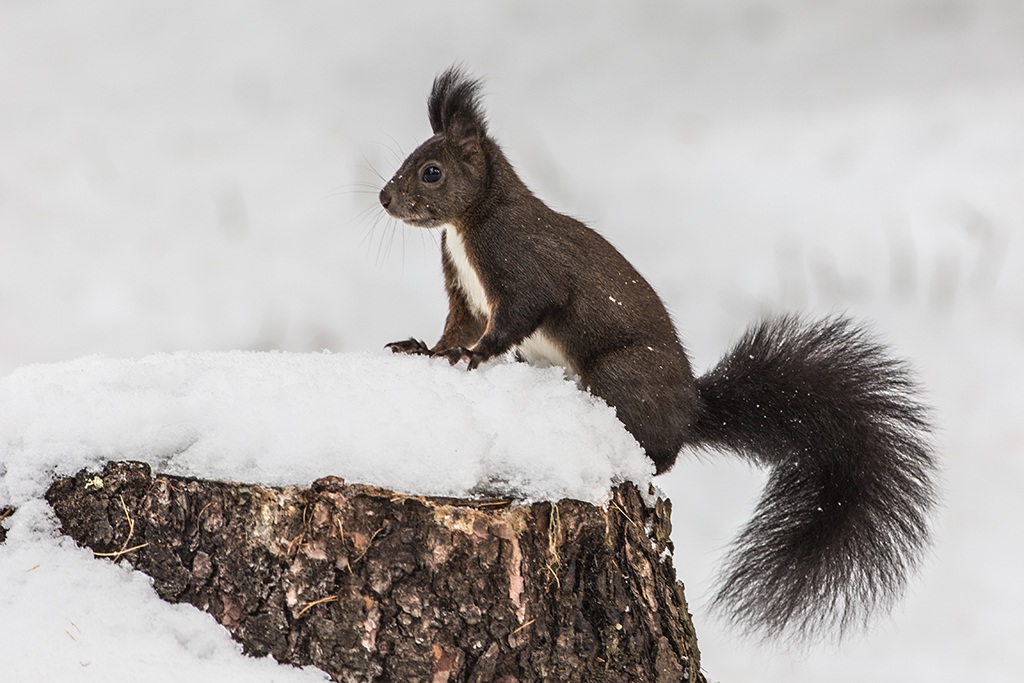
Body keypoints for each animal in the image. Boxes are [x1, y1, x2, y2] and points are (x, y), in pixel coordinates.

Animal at [378, 66, 937, 643]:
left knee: (661, 454)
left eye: (431, 172)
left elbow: (513, 319)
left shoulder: (524, 266)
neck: (468, 225)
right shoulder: (465, 293)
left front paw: (471, 359)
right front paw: (426, 351)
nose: (384, 197)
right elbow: (457, 326)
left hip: (621, 372)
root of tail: (690, 411)